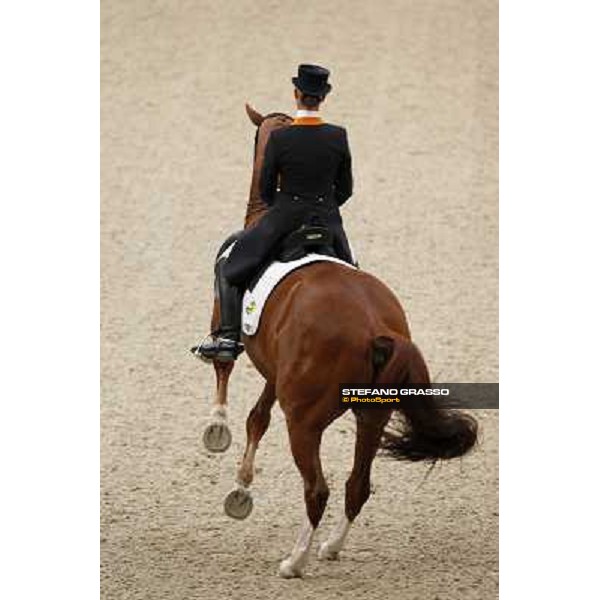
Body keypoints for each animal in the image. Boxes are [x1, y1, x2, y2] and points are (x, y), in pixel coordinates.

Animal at [202, 103, 478, 576]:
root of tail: (374, 329)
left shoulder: (232, 325)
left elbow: (224, 368)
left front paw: (217, 431)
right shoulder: (277, 371)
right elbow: (257, 418)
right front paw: (240, 489)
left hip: (305, 420)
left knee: (318, 489)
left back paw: (295, 561)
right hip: (372, 416)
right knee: (357, 486)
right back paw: (330, 547)